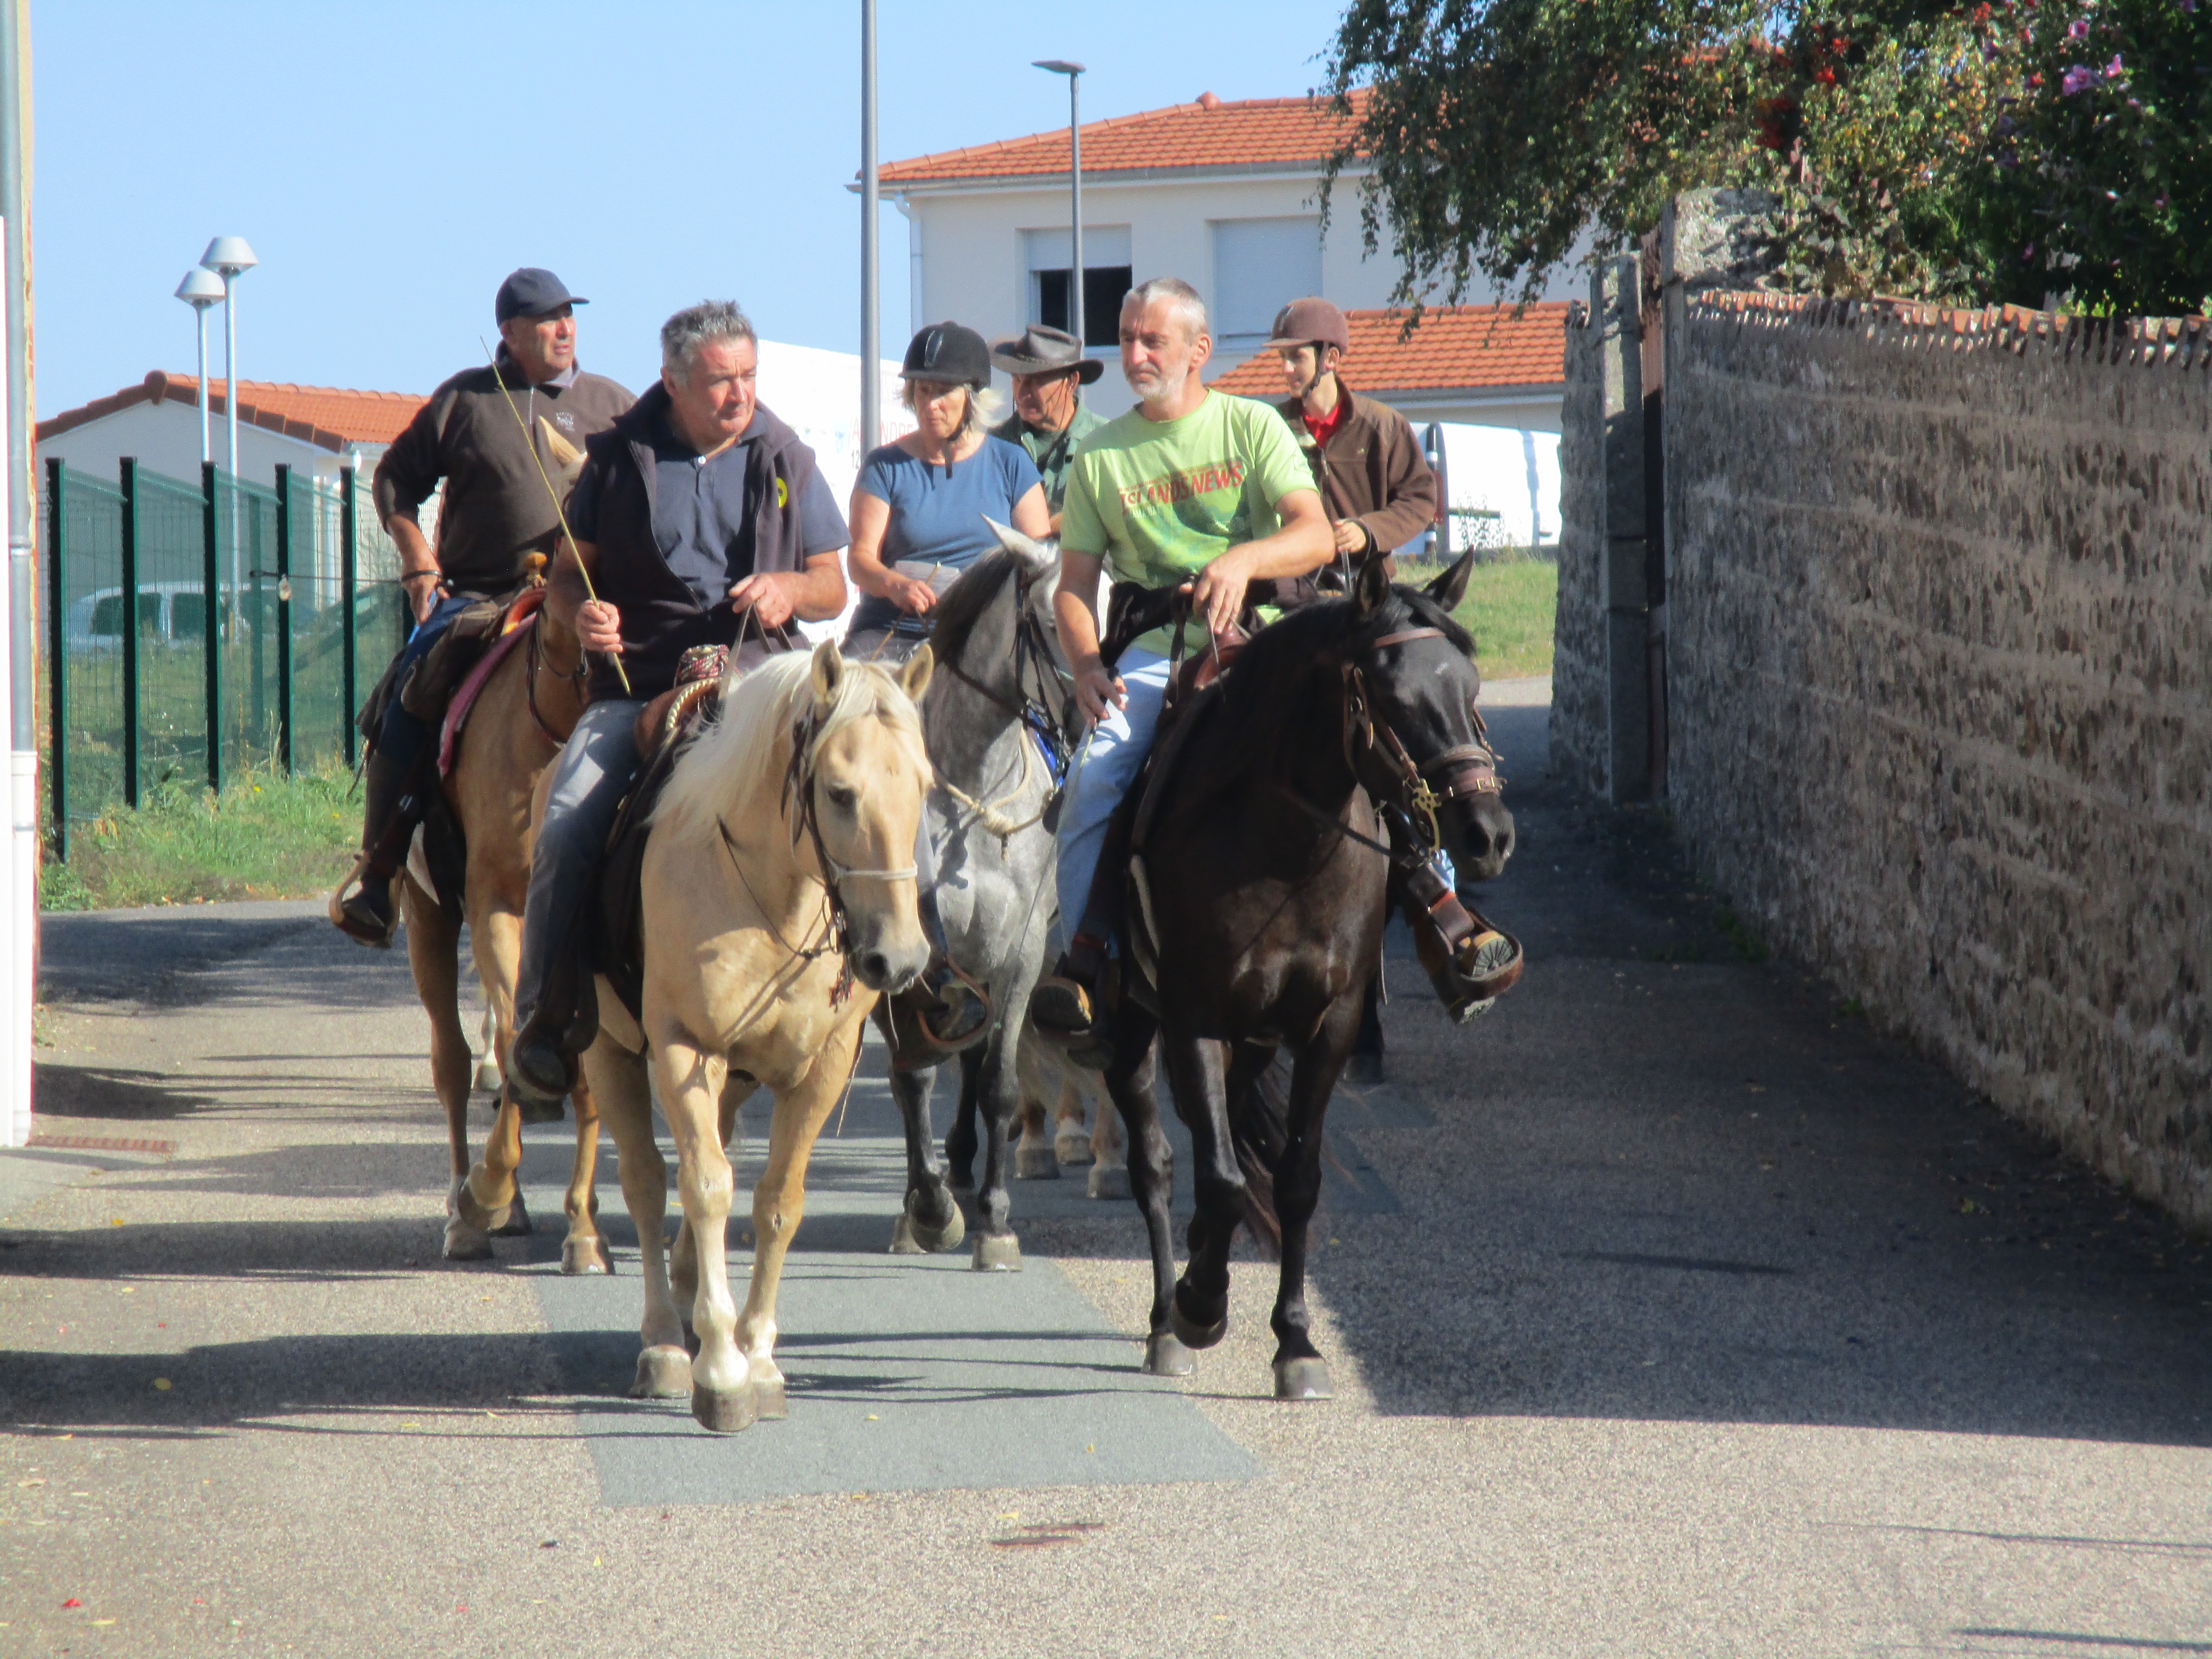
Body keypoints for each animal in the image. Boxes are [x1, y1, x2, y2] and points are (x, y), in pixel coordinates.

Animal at [579, 641, 933, 1433]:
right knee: (647, 1181)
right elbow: (708, 1187)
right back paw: (664, 1343)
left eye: (925, 788)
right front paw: (720, 1369)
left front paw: (760, 1357)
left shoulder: (822, 1067)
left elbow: (778, 1202)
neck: (770, 900)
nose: (897, 959)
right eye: (839, 792)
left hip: (733, 1080)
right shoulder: (683, 1048)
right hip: (610, 1053)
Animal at [1097, 555, 1513, 1407]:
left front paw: (1295, 1341)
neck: (1283, 849)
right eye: (1395, 699)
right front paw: (1200, 1304)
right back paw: (1165, 1321)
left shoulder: (1332, 1023)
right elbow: (1221, 1178)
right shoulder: (1192, 1016)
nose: (1488, 834)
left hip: (1252, 1039)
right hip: (1133, 1024)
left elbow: (1294, 1179)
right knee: (1155, 1160)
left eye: (1471, 688)